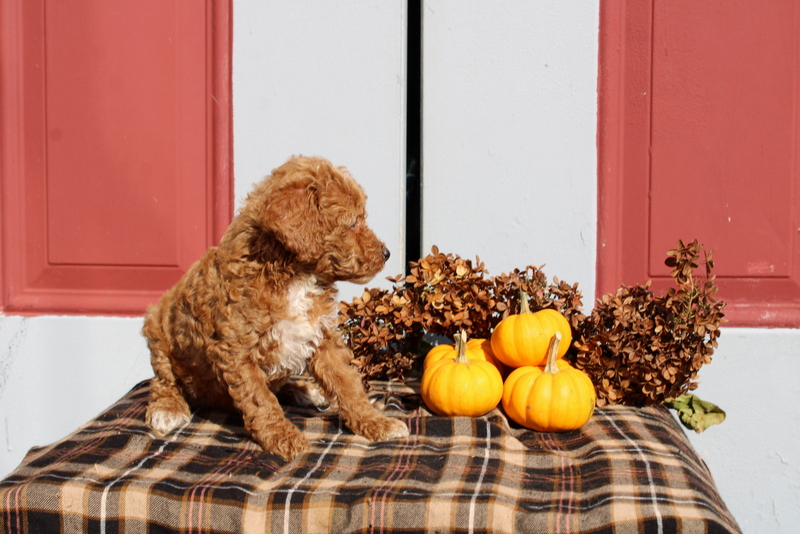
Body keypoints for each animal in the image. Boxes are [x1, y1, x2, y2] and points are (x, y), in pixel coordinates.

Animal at [140, 155, 410, 460]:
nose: (386, 253)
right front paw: (282, 436)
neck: (295, 275)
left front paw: (375, 422)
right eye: (352, 222)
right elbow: (261, 399)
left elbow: (347, 382)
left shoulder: (323, 336)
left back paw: (306, 391)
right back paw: (167, 409)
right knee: (163, 380)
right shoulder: (237, 351)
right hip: (158, 330)